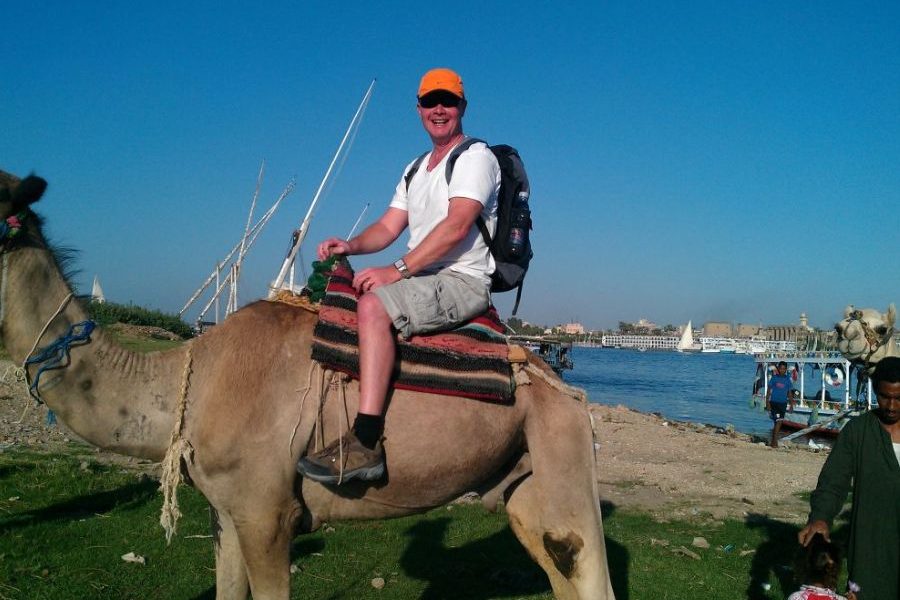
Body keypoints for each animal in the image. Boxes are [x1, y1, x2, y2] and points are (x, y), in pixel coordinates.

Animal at [0, 169, 615, 600]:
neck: (187, 385)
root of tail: (549, 371)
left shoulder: (268, 517)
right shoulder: (227, 514)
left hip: (561, 441)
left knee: (586, 562)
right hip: (522, 482)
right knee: (556, 559)